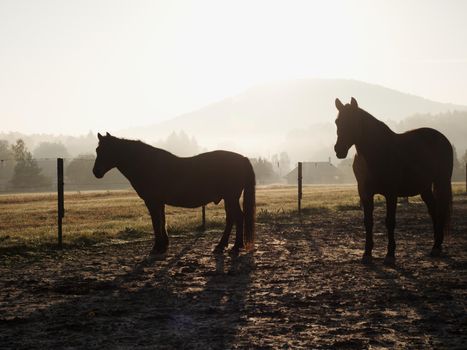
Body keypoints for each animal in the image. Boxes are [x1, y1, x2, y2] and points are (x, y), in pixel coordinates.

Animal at [92, 133, 256, 258]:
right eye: (97, 150)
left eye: (106, 150)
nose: (96, 172)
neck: (148, 164)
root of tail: (242, 158)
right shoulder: (159, 202)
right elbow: (162, 221)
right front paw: (163, 245)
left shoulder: (152, 201)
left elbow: (156, 222)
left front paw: (157, 247)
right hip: (230, 198)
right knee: (235, 218)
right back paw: (229, 246)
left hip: (230, 197)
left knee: (235, 217)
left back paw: (230, 246)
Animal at [334, 97, 456, 264]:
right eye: (337, 122)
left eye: (354, 121)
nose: (339, 150)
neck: (377, 152)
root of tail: (442, 138)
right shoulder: (365, 193)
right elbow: (368, 221)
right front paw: (367, 254)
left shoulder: (391, 193)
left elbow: (390, 221)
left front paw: (390, 255)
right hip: (424, 187)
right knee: (433, 210)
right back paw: (435, 245)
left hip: (442, 181)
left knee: (440, 210)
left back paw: (437, 247)